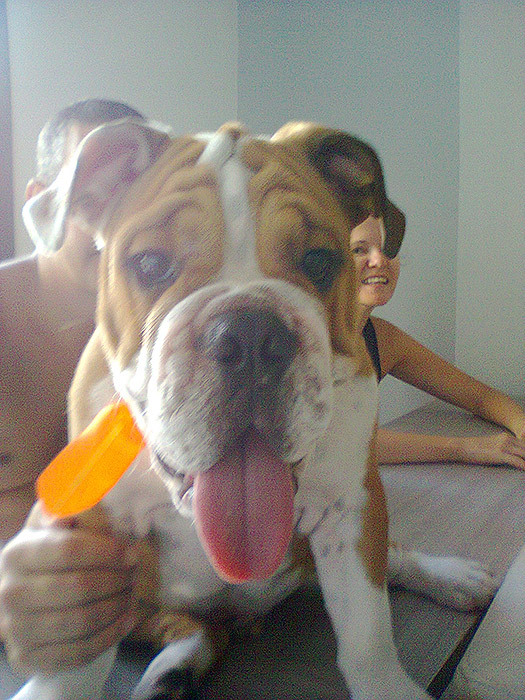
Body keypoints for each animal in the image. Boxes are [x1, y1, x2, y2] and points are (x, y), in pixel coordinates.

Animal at [11, 120, 494, 700]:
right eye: (151, 264)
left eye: (320, 261)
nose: (249, 335)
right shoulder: (93, 538)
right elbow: (76, 653)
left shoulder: (348, 507)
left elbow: (367, 632)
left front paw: (387, 686)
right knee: (188, 628)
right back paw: (172, 672)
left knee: (391, 558)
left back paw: (450, 577)